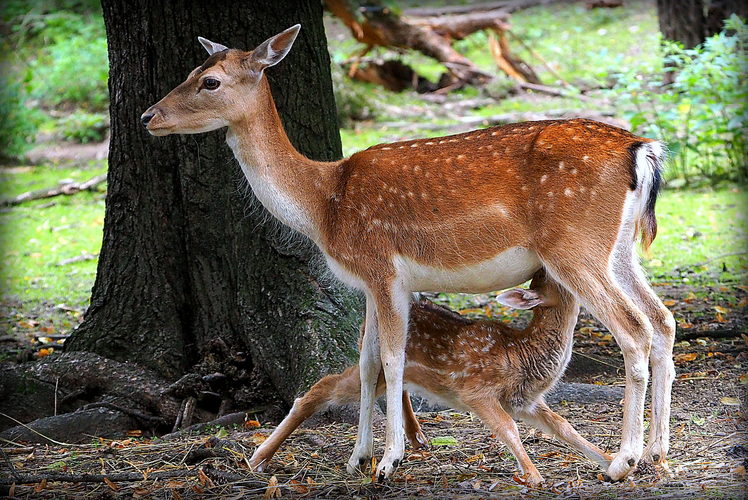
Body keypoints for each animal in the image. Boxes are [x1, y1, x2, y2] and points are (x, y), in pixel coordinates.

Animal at [248, 270, 612, 484]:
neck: (523, 355)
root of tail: (366, 321)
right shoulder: (475, 389)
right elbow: (508, 428)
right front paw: (533, 475)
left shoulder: (525, 400)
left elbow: (565, 425)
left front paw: (613, 462)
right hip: (369, 368)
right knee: (319, 389)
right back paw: (258, 458)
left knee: (394, 386)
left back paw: (416, 436)